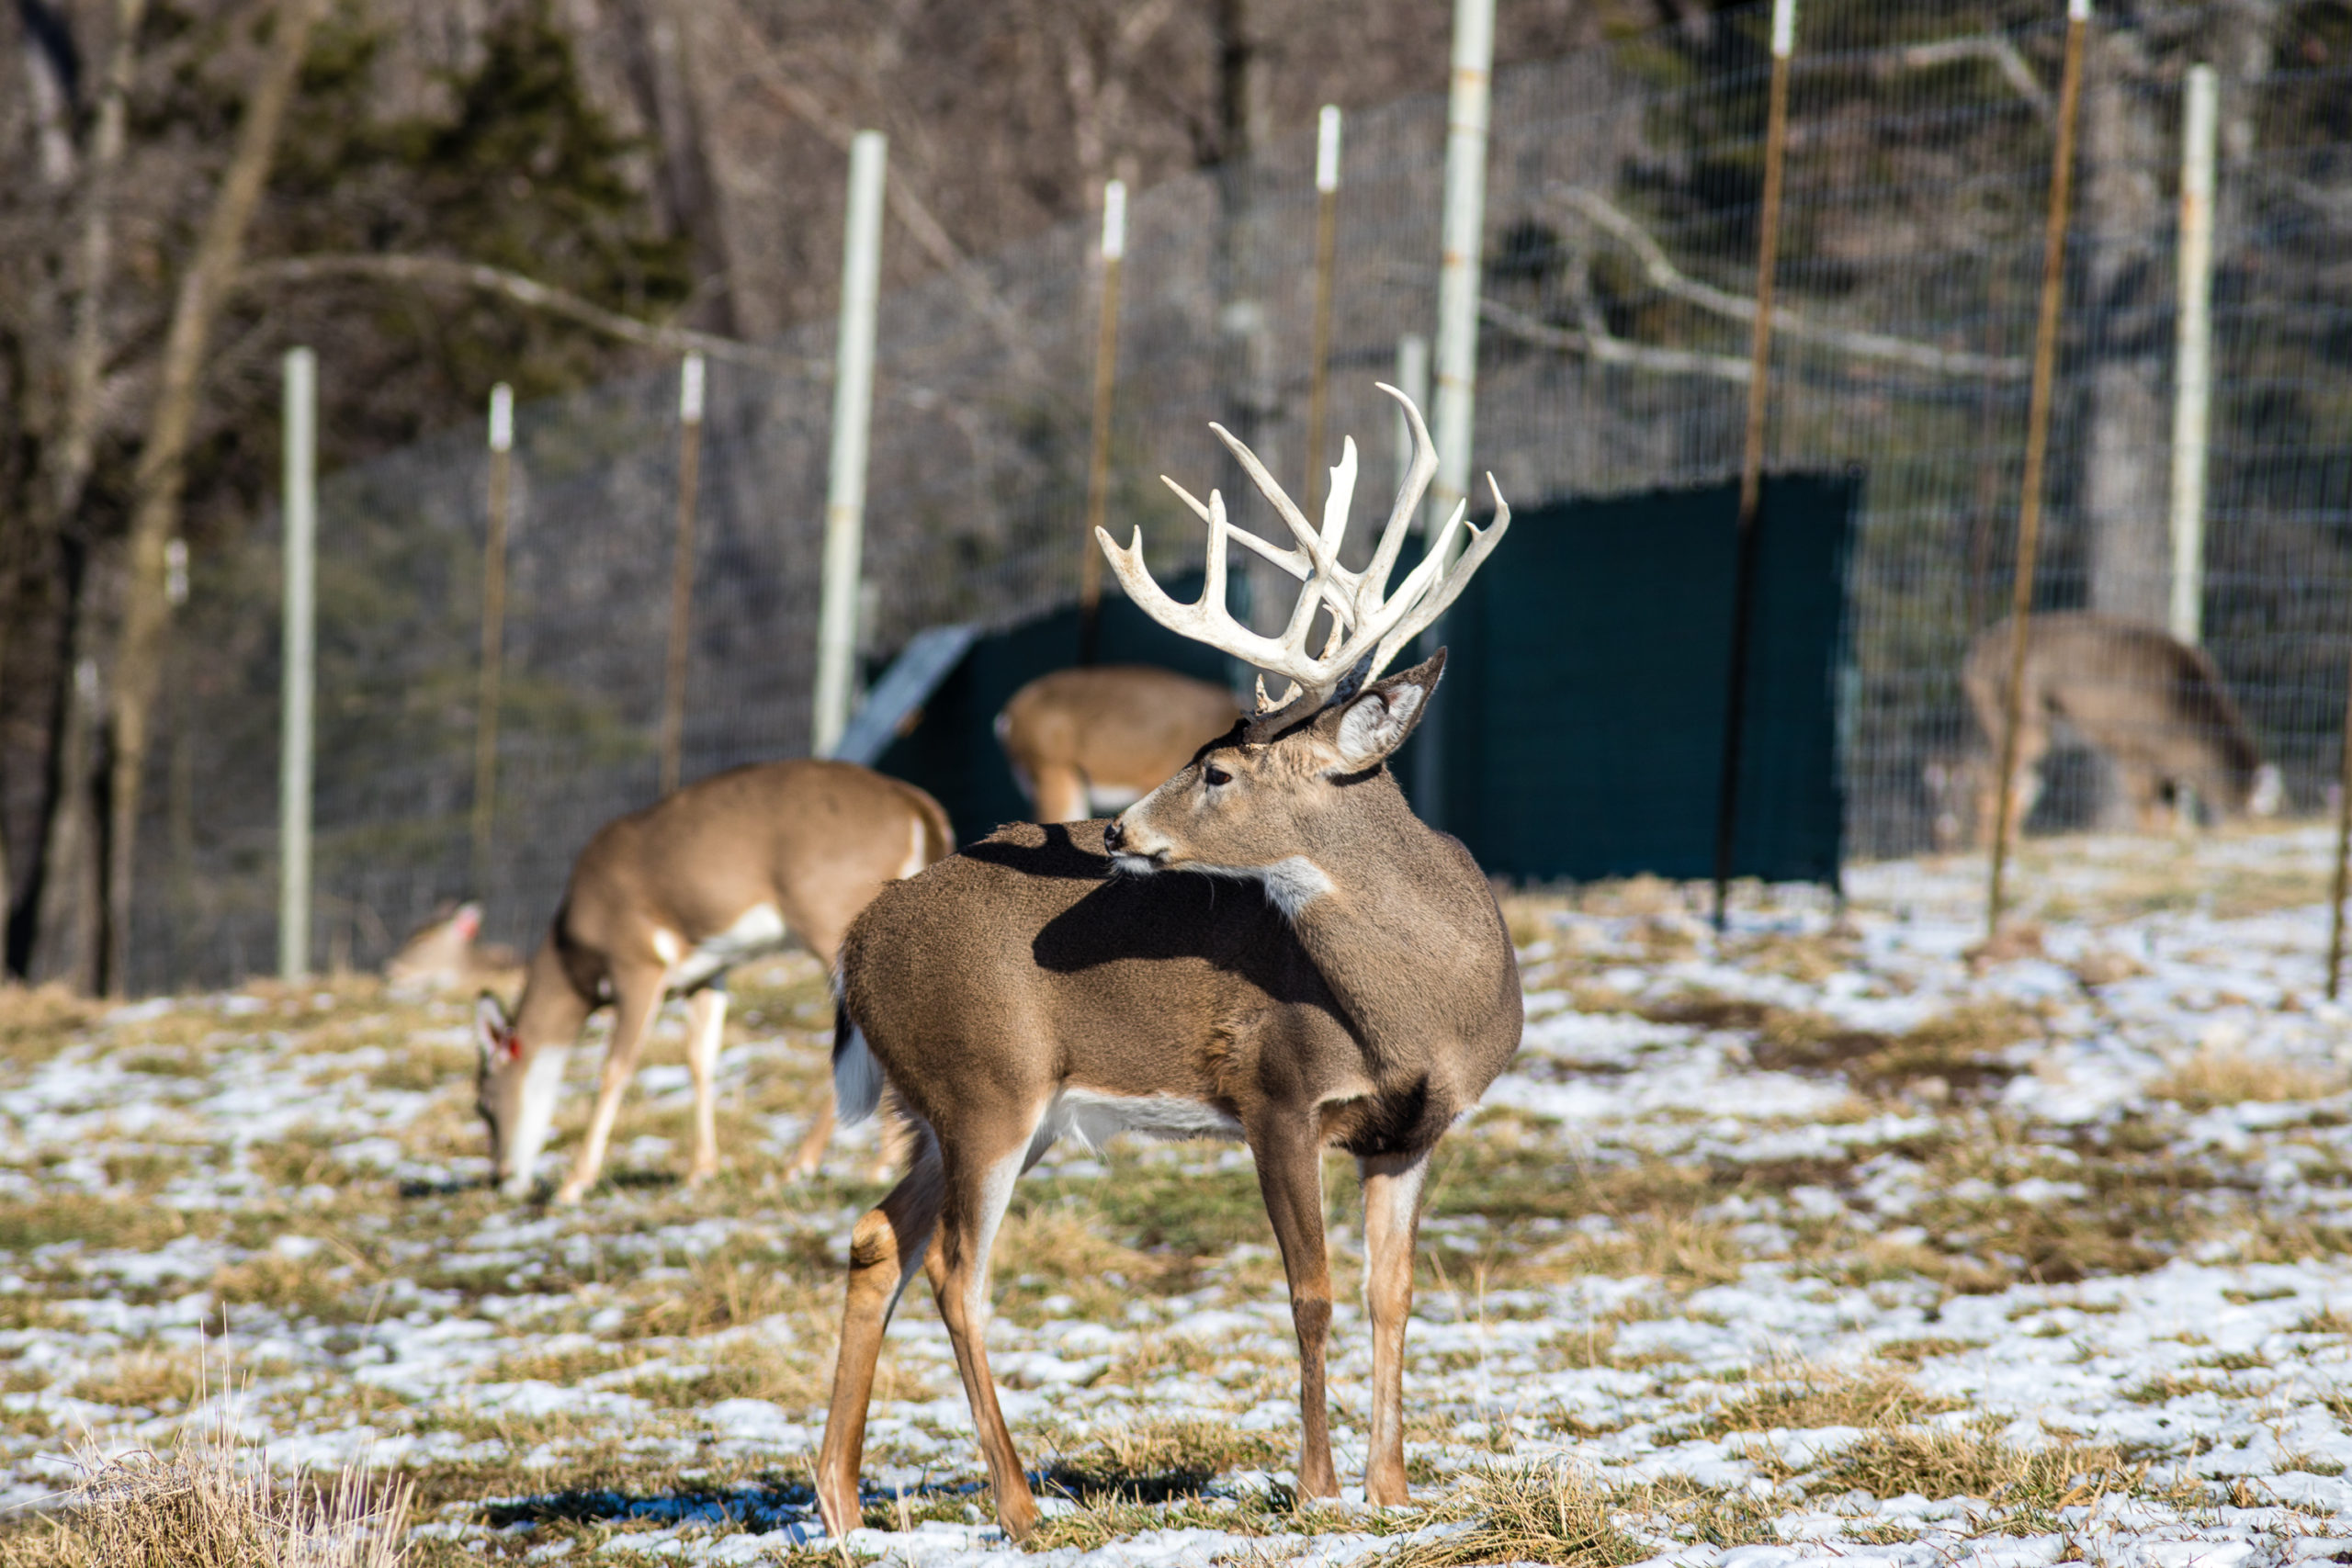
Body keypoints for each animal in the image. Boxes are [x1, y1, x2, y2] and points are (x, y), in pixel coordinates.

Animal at [472, 761, 950, 1203]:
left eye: (484, 1103)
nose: (500, 1180)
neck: (573, 954)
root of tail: (918, 808)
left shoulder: (637, 962)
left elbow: (615, 1068)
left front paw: (573, 1184)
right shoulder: (704, 972)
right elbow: (700, 1059)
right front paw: (701, 1170)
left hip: (829, 915)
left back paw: (804, 1165)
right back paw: (879, 1164)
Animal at [1928, 615, 2277, 860]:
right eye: (2251, 821)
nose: (2253, 834)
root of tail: (1971, 659)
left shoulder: (2166, 767)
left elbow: (2169, 813)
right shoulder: (2131, 746)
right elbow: (2145, 807)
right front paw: (2147, 845)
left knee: (2020, 782)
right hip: (2025, 723)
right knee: (1997, 782)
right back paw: (1989, 847)